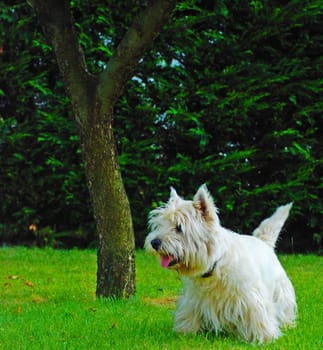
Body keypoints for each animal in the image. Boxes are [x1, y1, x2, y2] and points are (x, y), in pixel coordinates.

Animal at [146, 185, 298, 344]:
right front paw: (186, 332)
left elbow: (257, 317)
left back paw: (287, 324)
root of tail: (264, 242)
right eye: (160, 225)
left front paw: (263, 337)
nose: (154, 242)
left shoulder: (251, 299)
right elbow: (190, 314)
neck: (214, 266)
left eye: (179, 227)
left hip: (281, 291)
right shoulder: (193, 300)